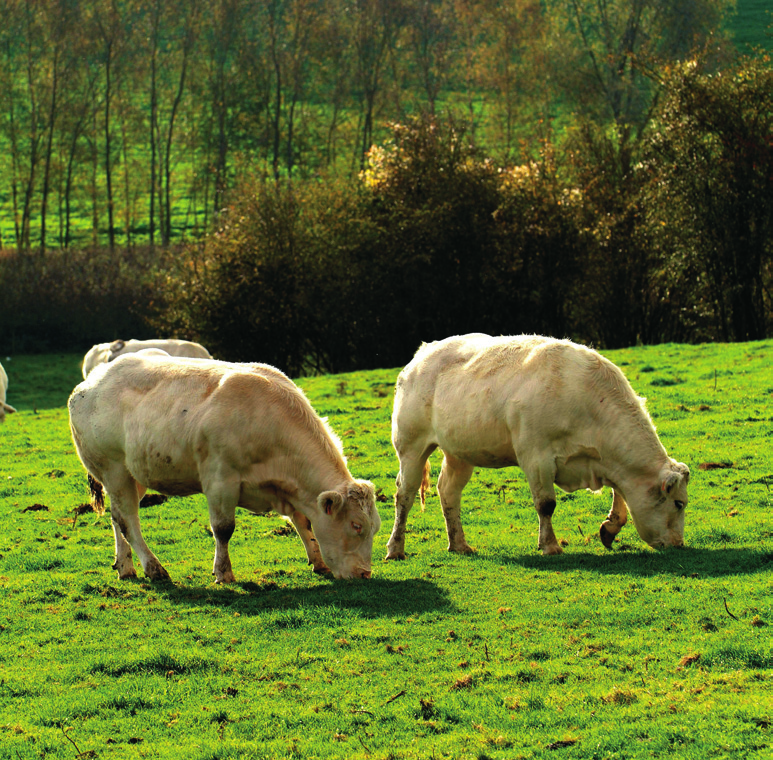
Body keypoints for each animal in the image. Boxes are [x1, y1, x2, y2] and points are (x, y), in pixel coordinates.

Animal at [68, 352, 380, 580]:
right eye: (356, 525)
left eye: (375, 527)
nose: (364, 573)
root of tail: (90, 382)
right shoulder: (220, 479)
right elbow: (223, 528)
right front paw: (223, 572)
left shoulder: (287, 488)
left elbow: (303, 522)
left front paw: (317, 561)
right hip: (113, 469)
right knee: (127, 520)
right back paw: (153, 568)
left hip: (134, 475)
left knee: (117, 516)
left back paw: (125, 566)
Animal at [390, 332, 692, 560]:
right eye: (679, 503)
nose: (678, 544)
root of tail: (422, 354)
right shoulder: (536, 455)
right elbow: (546, 504)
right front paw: (550, 545)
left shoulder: (604, 461)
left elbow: (620, 493)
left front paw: (610, 527)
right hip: (411, 446)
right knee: (404, 495)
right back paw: (396, 549)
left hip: (459, 452)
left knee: (448, 491)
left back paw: (459, 544)